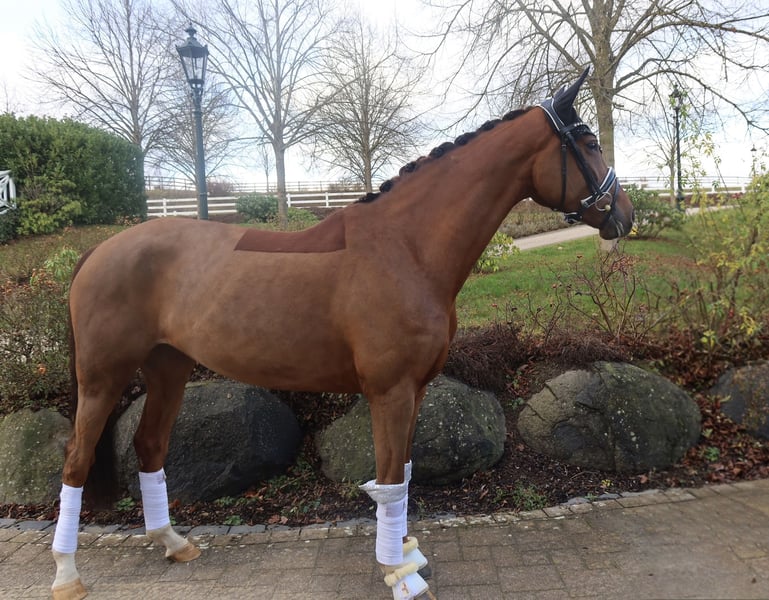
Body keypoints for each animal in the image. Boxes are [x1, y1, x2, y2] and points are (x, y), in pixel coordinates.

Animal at [50, 68, 633, 600]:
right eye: (589, 143)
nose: (625, 214)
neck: (405, 248)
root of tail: (98, 251)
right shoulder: (390, 391)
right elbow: (392, 483)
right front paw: (400, 575)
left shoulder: (415, 390)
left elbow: (404, 472)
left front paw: (406, 556)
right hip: (103, 377)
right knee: (77, 459)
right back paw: (66, 575)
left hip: (168, 366)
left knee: (149, 446)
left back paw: (173, 543)